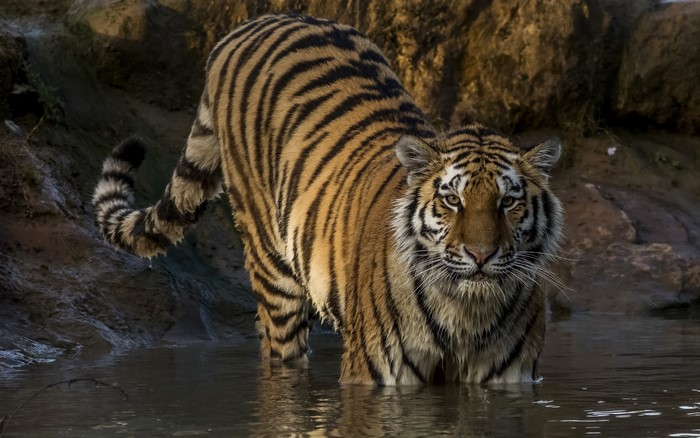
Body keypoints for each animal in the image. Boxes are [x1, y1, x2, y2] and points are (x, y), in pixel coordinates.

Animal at [92, 13, 564, 385]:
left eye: (507, 202)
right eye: (452, 201)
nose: (481, 255)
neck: (466, 312)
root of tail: (250, 24)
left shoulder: (510, 377)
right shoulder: (374, 373)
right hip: (272, 266)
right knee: (279, 348)